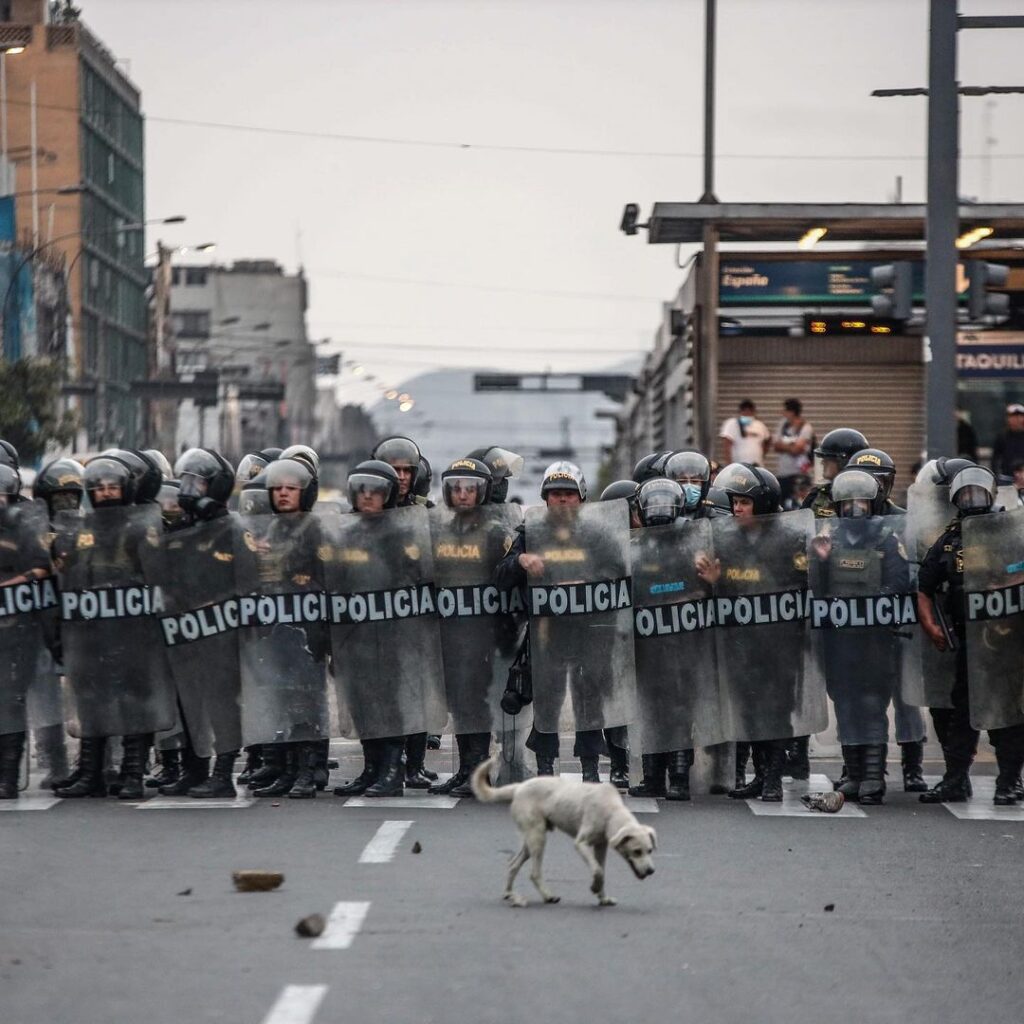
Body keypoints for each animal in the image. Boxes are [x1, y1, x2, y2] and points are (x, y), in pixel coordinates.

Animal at [471, 757, 655, 909]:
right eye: (637, 851)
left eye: (650, 850)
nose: (651, 871)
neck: (611, 811)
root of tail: (519, 787)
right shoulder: (581, 843)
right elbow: (597, 871)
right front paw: (594, 888)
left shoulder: (600, 847)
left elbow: (601, 871)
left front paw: (603, 898)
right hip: (538, 838)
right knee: (534, 873)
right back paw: (547, 896)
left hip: (530, 841)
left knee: (513, 864)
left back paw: (511, 895)